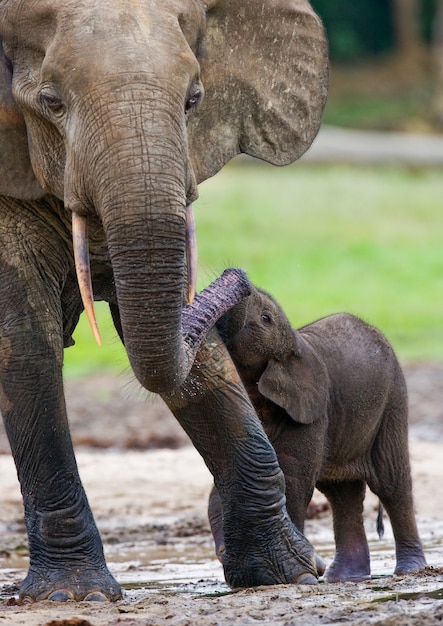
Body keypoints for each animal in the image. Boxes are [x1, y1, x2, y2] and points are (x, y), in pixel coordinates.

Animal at [0, 0, 328, 604]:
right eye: (51, 102)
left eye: (193, 100)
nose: (239, 277)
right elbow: (24, 340)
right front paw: (76, 596)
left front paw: (289, 573)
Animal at [212, 286, 426, 584]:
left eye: (266, 318)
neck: (293, 344)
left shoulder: (312, 411)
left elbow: (292, 477)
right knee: (342, 493)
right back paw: (345, 578)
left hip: (393, 399)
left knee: (391, 483)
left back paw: (409, 571)